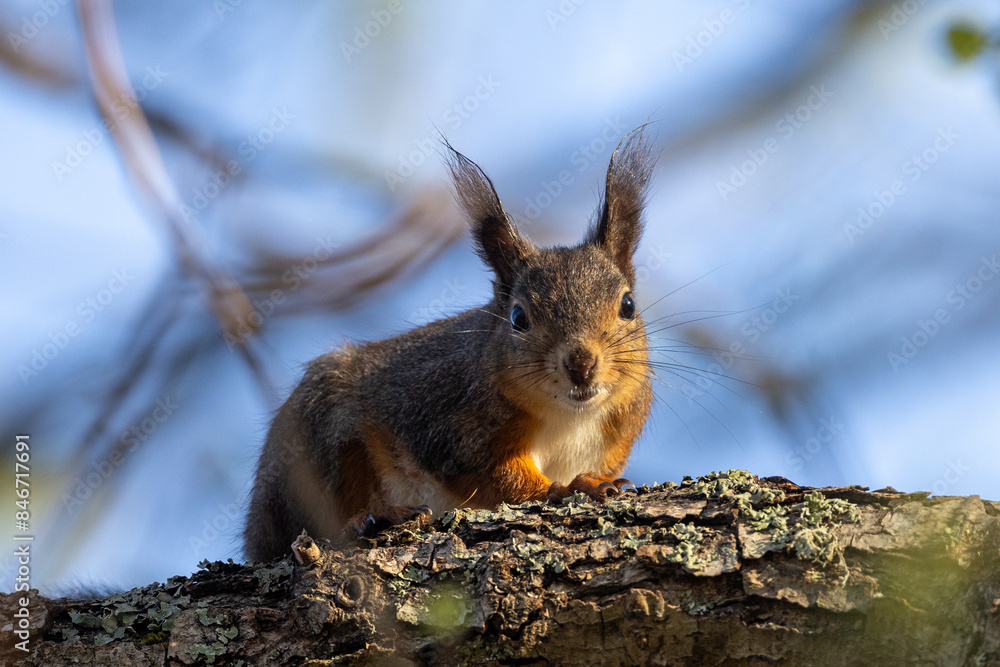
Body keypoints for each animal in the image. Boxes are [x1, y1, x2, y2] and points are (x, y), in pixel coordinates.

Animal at [244, 130, 656, 562]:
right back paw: (376, 517)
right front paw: (568, 488)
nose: (580, 364)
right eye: (518, 318)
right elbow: (496, 479)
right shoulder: (451, 429)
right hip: (320, 438)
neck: (569, 416)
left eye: (628, 305)